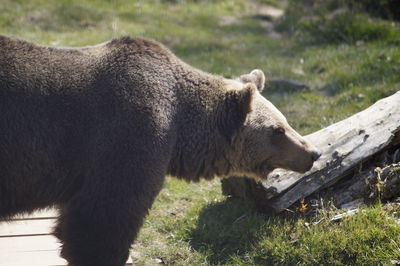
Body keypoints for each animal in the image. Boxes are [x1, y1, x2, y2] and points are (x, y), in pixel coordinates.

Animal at [0, 35, 318, 266]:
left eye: (285, 122)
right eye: (278, 130)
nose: (312, 153)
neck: (181, 129)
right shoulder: (126, 134)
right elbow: (101, 222)